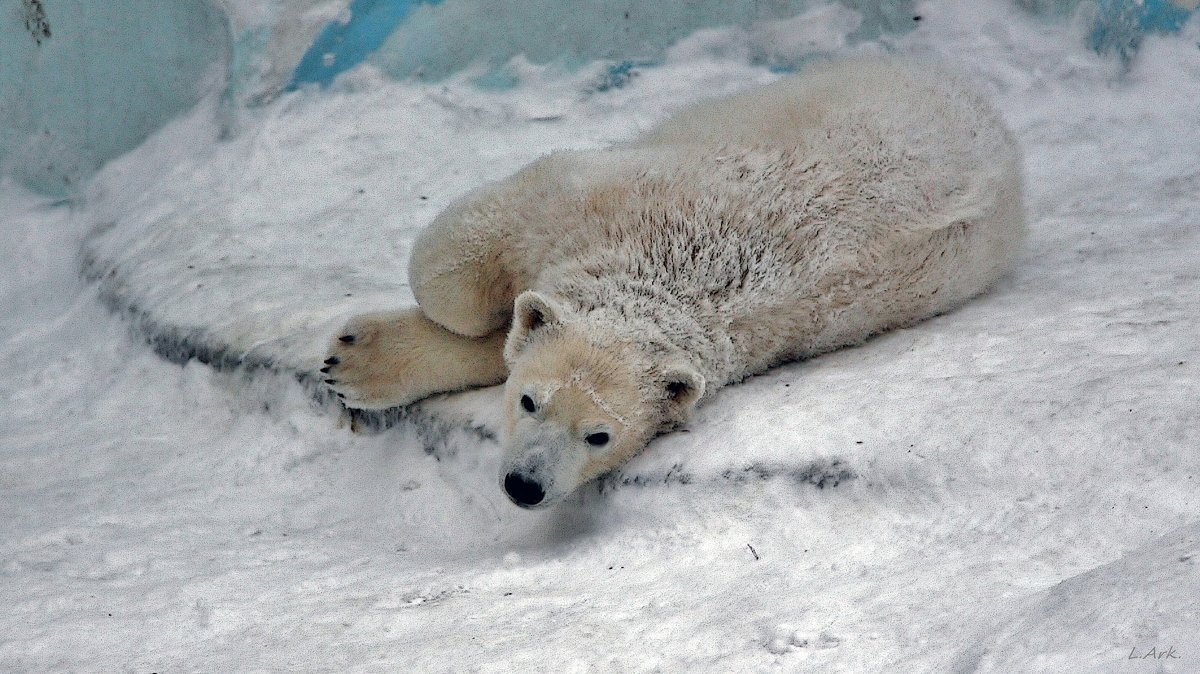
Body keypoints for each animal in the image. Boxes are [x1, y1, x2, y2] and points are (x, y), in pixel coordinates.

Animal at [324, 57, 1027, 506]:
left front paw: (358, 361)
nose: (526, 487)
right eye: (529, 402)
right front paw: (357, 354)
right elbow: (460, 276)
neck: (682, 266)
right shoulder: (584, 196)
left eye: (600, 435)